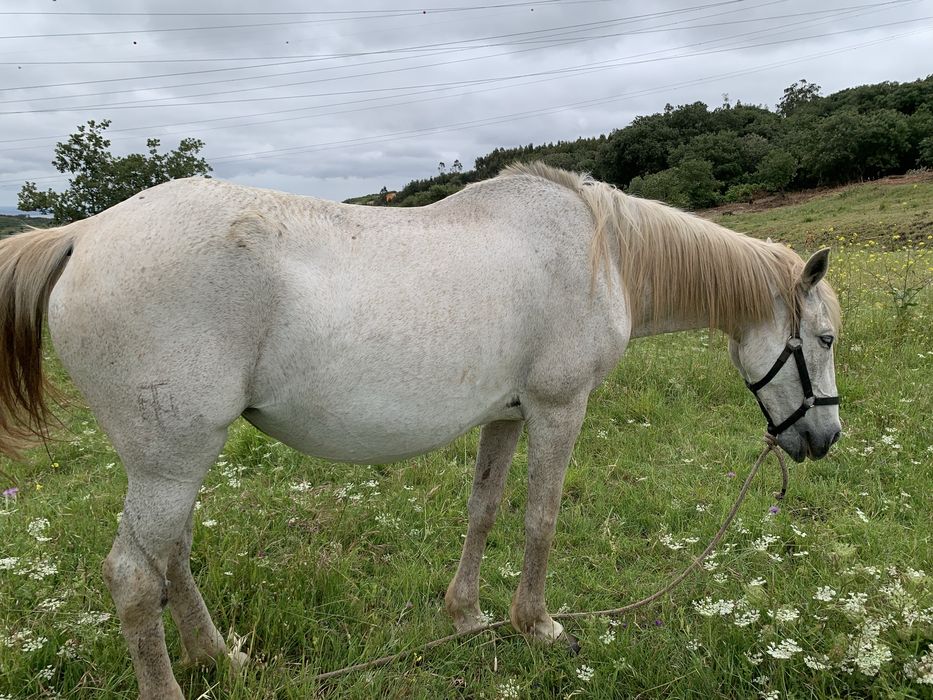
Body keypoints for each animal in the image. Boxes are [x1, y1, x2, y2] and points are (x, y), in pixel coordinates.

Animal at [0, 162, 841, 699]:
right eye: (826, 338)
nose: (824, 440)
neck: (598, 250)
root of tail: (83, 235)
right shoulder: (558, 409)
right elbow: (540, 520)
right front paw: (538, 626)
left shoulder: (505, 417)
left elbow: (485, 512)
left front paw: (466, 616)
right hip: (170, 463)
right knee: (135, 578)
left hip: (172, 463)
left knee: (169, 558)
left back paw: (220, 660)